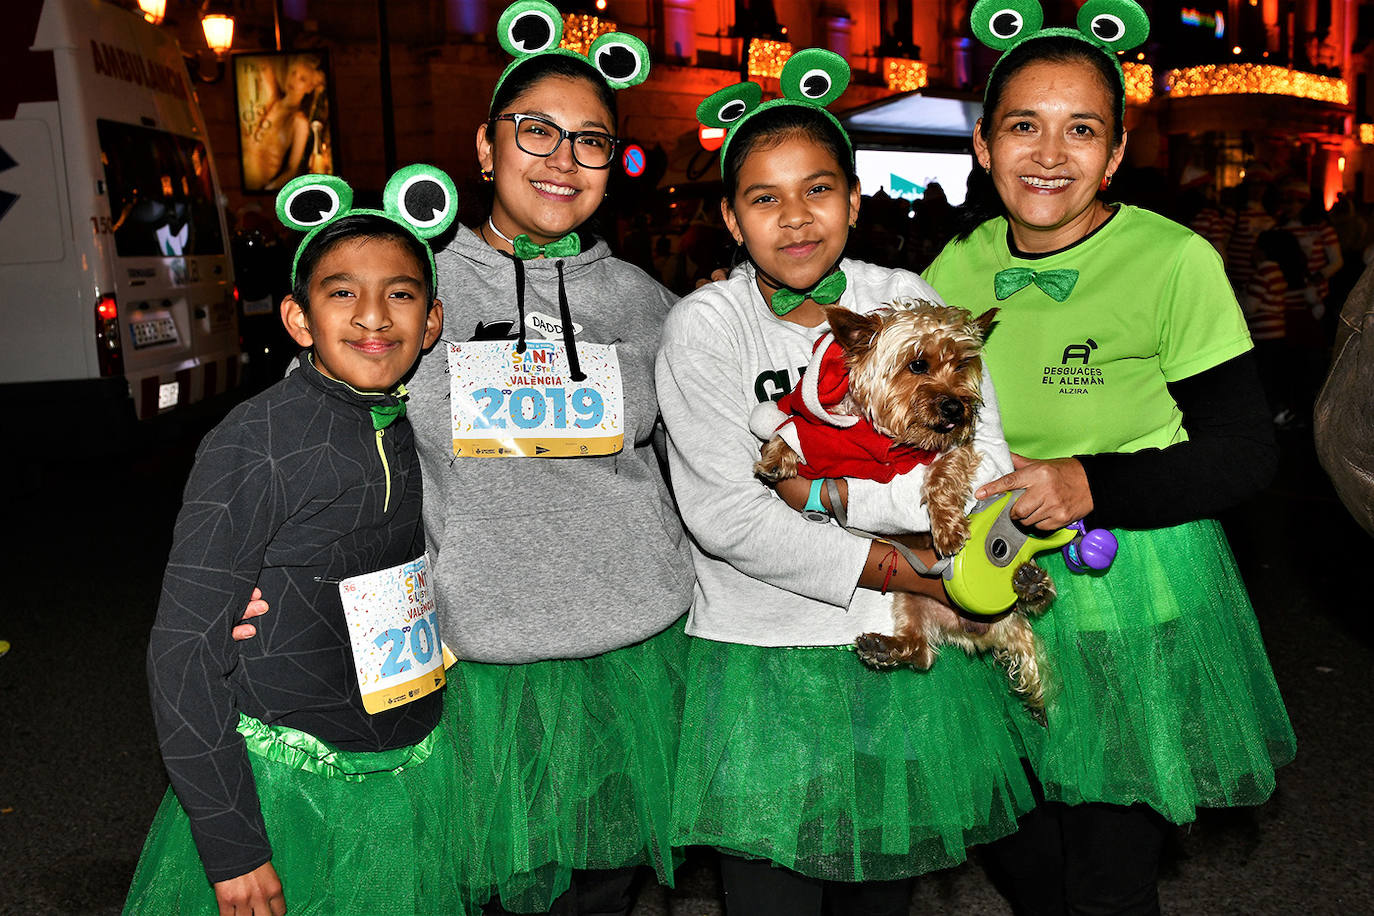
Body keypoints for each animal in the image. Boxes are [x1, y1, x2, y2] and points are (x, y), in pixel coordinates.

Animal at [758, 298, 1055, 708]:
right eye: (917, 364)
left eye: (962, 364)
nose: (957, 408)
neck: (883, 437)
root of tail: (975, 629)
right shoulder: (818, 434)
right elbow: (788, 431)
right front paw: (774, 458)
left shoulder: (954, 449)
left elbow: (942, 476)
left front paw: (947, 530)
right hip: (907, 597)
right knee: (922, 653)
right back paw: (884, 648)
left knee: (1032, 604)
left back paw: (1031, 584)